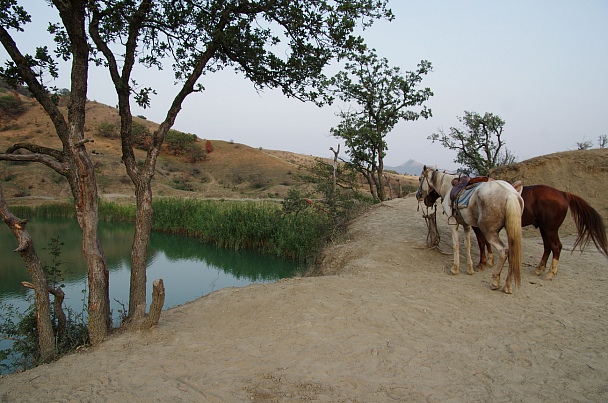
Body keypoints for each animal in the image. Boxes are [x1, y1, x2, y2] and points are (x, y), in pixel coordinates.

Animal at [416, 166, 524, 296]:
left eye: (420, 179)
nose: (418, 195)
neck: (449, 187)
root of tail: (511, 194)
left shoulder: (454, 223)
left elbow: (456, 245)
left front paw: (455, 268)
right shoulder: (466, 225)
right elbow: (467, 245)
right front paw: (470, 269)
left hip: (490, 232)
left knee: (503, 251)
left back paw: (495, 281)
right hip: (510, 229)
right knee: (511, 252)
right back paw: (507, 285)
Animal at [428, 185, 608, 280]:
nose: (425, 199)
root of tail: (563, 193)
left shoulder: (478, 226)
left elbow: (481, 242)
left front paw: (483, 263)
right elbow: (483, 243)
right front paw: (487, 262)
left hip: (549, 228)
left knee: (556, 246)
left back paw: (550, 272)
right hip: (544, 228)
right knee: (548, 247)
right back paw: (539, 269)